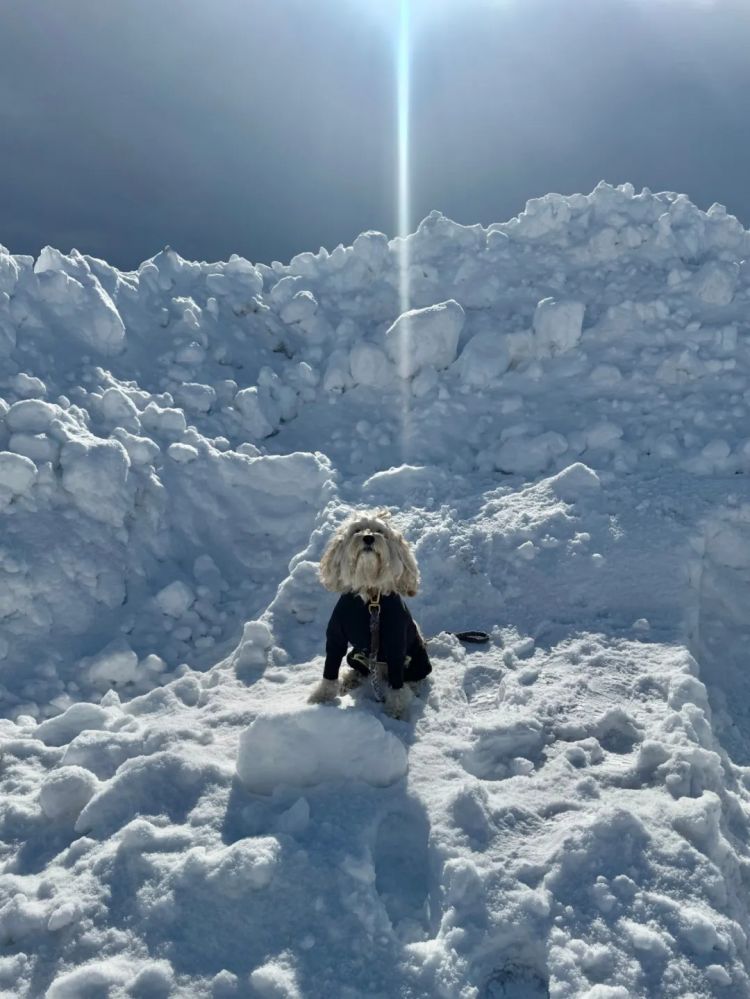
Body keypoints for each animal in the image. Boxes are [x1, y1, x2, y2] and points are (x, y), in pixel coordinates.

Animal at [306, 516, 434, 720]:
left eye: (380, 531)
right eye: (357, 530)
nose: (368, 538)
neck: (371, 595)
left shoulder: (395, 646)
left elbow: (397, 685)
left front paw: (395, 709)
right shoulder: (335, 639)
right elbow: (330, 668)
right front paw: (322, 696)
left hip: (419, 660)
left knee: (412, 677)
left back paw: (412, 688)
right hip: (354, 656)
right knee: (362, 670)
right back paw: (351, 679)